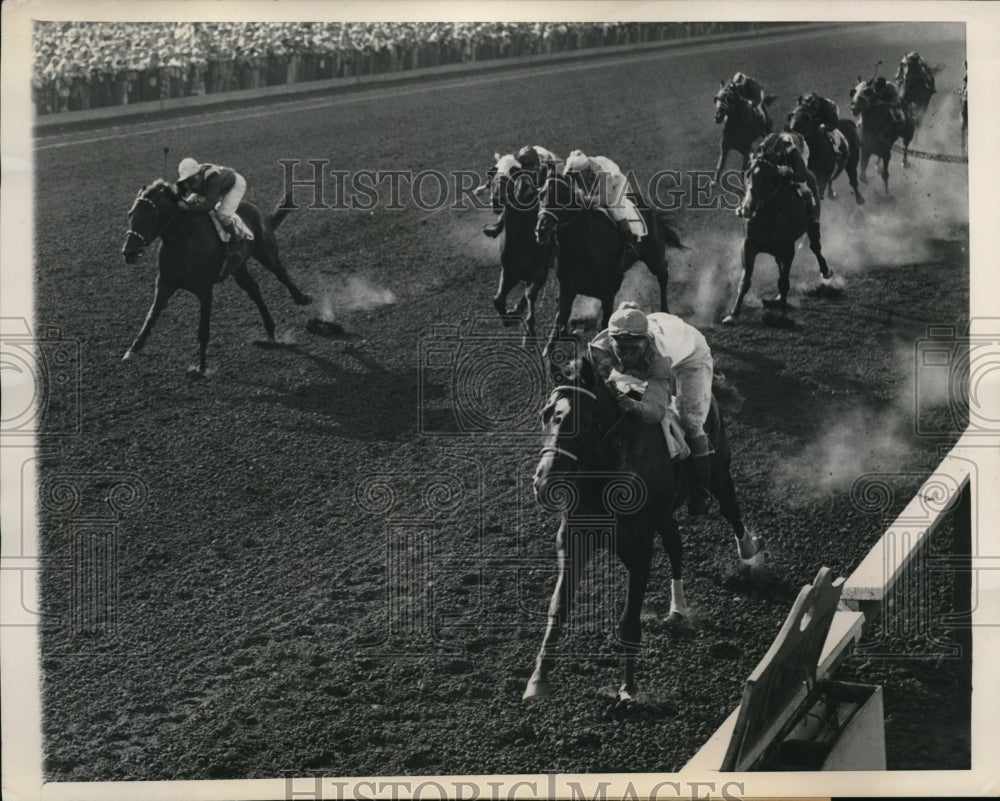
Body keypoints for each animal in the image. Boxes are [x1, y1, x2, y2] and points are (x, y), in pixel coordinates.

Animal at [123, 180, 314, 374]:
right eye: (131, 214)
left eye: (149, 217)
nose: (128, 252)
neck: (184, 240)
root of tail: (260, 212)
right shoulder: (165, 283)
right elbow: (151, 316)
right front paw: (132, 350)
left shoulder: (205, 291)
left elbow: (203, 331)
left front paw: (201, 368)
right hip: (239, 268)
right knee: (254, 290)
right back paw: (270, 332)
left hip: (266, 252)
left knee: (281, 273)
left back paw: (302, 299)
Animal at [486, 153, 556, 344]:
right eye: (494, 173)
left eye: (514, 172)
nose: (497, 199)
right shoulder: (510, 271)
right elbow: (498, 299)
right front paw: (509, 319)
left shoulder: (540, 271)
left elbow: (531, 293)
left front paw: (529, 330)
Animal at [524, 356, 764, 700]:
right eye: (547, 415)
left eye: (588, 421)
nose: (544, 482)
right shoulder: (573, 541)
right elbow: (558, 607)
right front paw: (538, 679)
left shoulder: (639, 550)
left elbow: (628, 621)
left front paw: (628, 689)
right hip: (664, 515)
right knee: (676, 546)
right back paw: (677, 607)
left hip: (719, 475)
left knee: (730, 510)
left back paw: (749, 551)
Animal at [536, 176, 684, 360]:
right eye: (541, 195)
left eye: (562, 197)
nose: (542, 229)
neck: (582, 245)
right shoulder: (567, 288)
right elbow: (560, 319)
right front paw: (549, 350)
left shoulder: (609, 291)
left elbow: (605, 323)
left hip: (654, 256)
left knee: (663, 275)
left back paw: (665, 311)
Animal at [724, 155, 832, 324]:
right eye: (748, 174)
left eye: (768, 179)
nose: (748, 208)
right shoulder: (748, 245)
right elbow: (745, 280)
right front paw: (733, 314)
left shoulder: (787, 250)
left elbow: (784, 282)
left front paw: (784, 315)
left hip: (812, 226)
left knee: (815, 248)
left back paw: (825, 271)